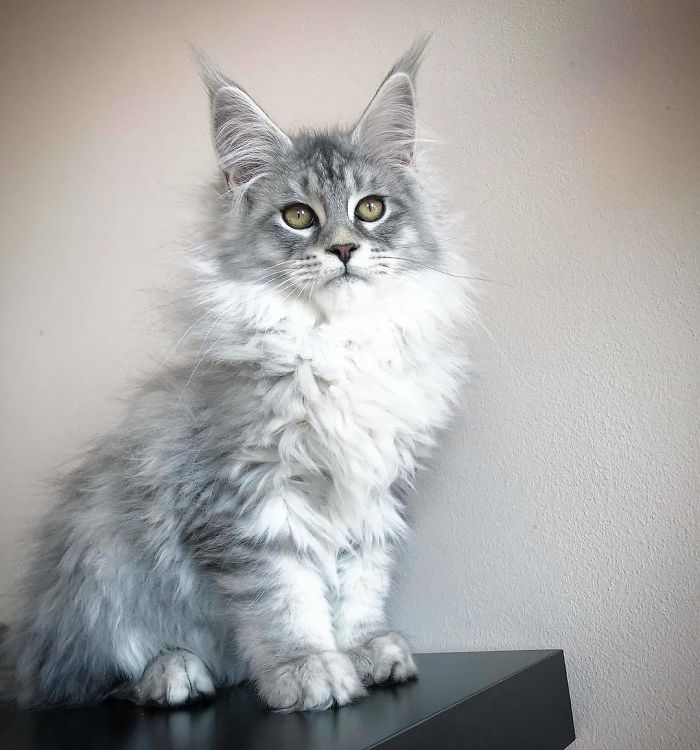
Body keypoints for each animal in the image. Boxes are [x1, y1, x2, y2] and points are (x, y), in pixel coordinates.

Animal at [2, 39, 474, 712]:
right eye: (298, 216)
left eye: (371, 209)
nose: (343, 249)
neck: (335, 345)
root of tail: (23, 640)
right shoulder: (248, 500)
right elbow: (284, 600)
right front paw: (308, 670)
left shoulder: (373, 497)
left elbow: (359, 586)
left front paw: (363, 650)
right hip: (98, 569)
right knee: (80, 681)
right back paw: (172, 673)